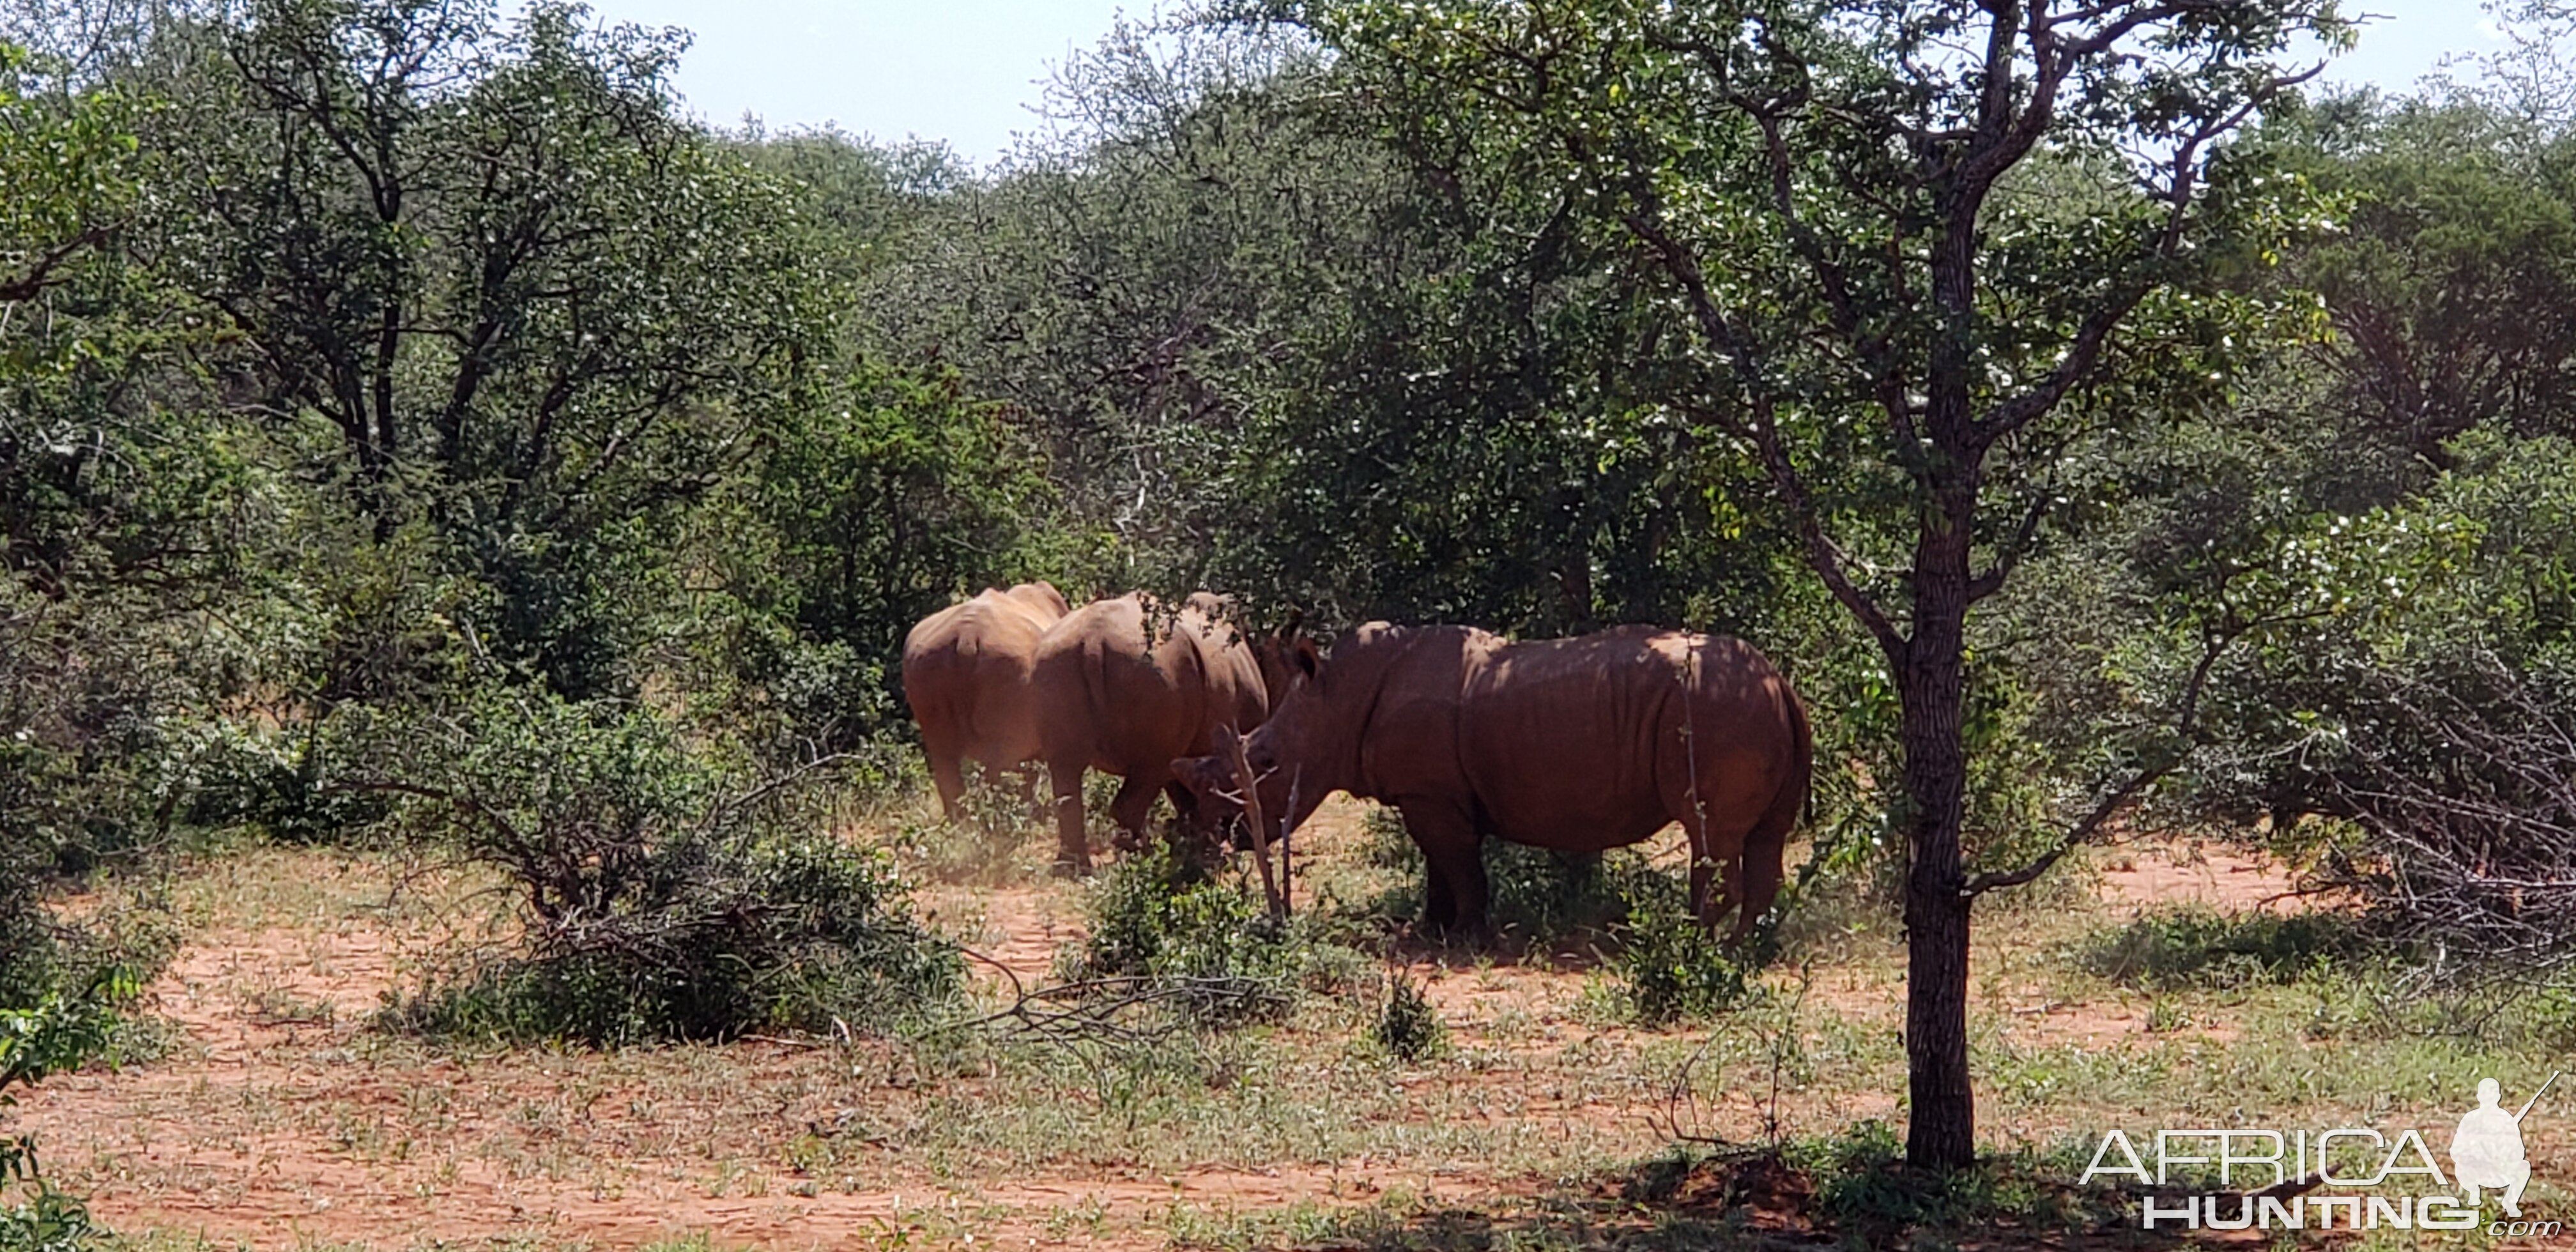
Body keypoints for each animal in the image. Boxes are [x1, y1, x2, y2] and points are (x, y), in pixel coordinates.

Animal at [1174, 620, 1813, 932]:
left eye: (1266, 763)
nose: (1226, 836)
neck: (1335, 698)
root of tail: (1780, 681)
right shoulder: (1430, 793)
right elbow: (1438, 864)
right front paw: (1430, 930)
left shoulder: (1431, 795)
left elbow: (1459, 865)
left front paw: (1466, 935)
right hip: (1745, 706)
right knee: (1765, 838)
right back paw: (1745, 953)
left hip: (1717, 708)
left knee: (1710, 831)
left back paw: (1692, 943)